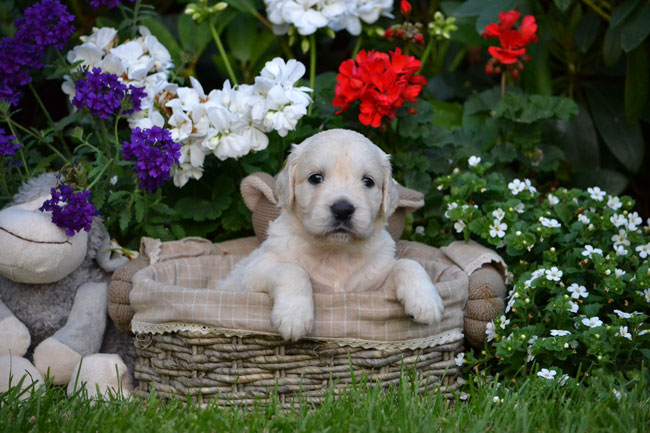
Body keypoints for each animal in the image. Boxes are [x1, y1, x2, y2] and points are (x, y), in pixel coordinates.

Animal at [220, 130, 442, 340]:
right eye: (315, 178)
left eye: (368, 181)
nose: (343, 209)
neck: (335, 252)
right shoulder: (253, 274)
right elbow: (292, 270)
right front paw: (293, 317)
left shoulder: (373, 289)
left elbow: (408, 263)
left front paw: (426, 302)